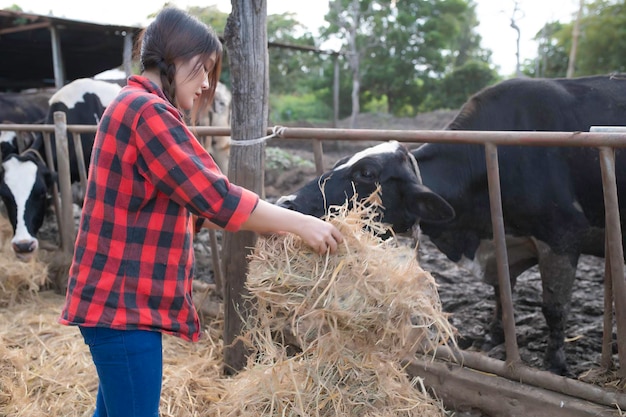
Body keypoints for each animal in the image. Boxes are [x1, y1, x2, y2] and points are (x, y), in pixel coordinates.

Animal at [278, 74, 626, 374]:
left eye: (366, 173)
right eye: (340, 162)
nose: (286, 203)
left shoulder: (562, 236)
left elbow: (554, 308)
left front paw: (555, 364)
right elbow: (502, 293)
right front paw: (495, 335)